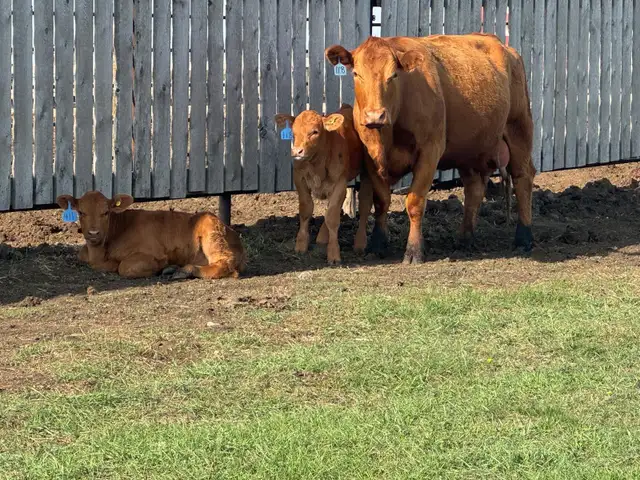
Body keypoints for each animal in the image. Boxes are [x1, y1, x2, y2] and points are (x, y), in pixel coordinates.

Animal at [56, 191, 246, 279]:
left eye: (106, 212)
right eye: (81, 212)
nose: (93, 233)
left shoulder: (152, 254)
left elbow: (124, 267)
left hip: (212, 236)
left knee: (225, 265)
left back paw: (183, 270)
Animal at [274, 104, 373, 265]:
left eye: (314, 131)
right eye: (293, 132)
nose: (297, 151)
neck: (317, 164)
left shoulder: (340, 184)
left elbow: (332, 217)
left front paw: (333, 254)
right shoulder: (299, 179)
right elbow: (306, 210)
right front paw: (301, 245)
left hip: (367, 173)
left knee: (364, 205)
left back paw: (360, 243)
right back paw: (322, 237)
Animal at [325, 33, 536, 264]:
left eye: (393, 75)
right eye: (356, 74)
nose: (375, 116)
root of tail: (504, 47)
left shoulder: (429, 151)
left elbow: (415, 202)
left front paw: (414, 250)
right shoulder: (371, 158)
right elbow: (381, 201)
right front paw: (378, 243)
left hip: (518, 129)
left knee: (523, 178)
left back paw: (524, 237)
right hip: (469, 149)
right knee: (474, 189)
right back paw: (465, 238)